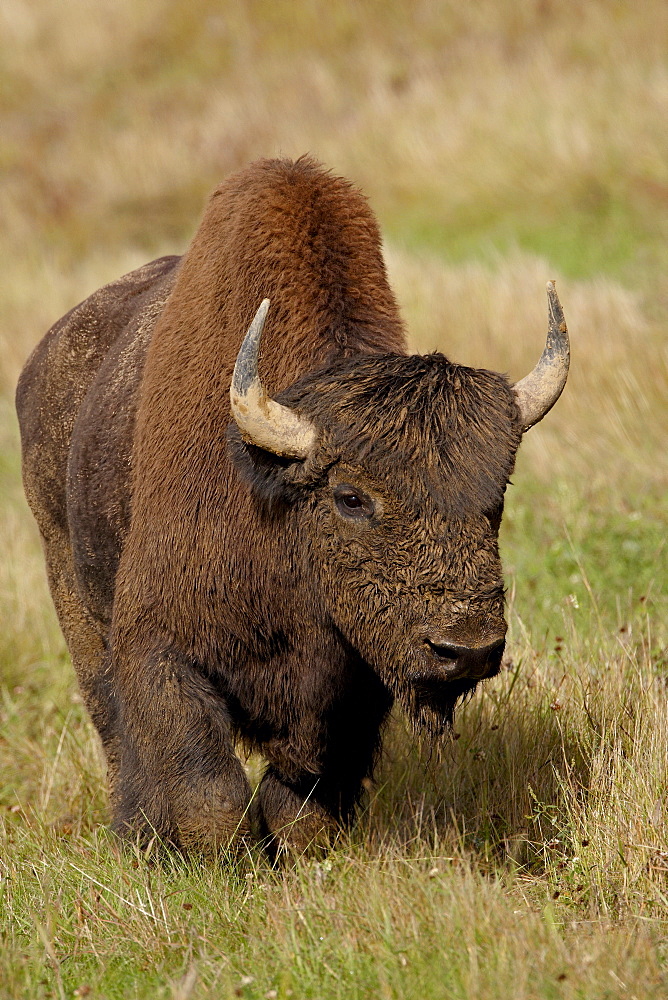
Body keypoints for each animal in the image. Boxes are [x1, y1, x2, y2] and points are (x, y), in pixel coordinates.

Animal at [15, 156, 568, 852]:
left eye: (498, 493)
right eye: (350, 497)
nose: (466, 649)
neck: (278, 499)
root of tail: (44, 360)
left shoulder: (352, 690)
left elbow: (305, 797)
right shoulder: (160, 648)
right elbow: (208, 793)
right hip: (69, 580)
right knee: (112, 725)